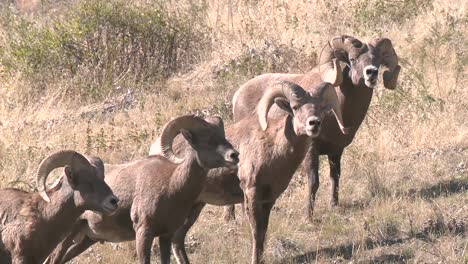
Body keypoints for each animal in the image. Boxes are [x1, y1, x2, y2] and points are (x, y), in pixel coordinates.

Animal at [47, 115, 238, 264]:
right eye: (207, 140)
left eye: (223, 136)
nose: (234, 155)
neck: (172, 186)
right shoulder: (144, 233)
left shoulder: (166, 236)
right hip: (66, 238)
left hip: (85, 240)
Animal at [152, 80, 346, 264]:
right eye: (296, 107)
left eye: (320, 108)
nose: (314, 123)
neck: (274, 149)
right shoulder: (251, 194)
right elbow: (256, 233)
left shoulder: (268, 200)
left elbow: (263, 232)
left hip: (194, 207)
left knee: (177, 240)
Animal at [229, 34, 400, 221]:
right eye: (353, 59)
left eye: (378, 61)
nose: (371, 73)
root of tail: (237, 96)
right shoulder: (312, 150)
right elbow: (314, 182)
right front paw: (309, 217)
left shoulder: (336, 151)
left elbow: (335, 177)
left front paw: (334, 205)